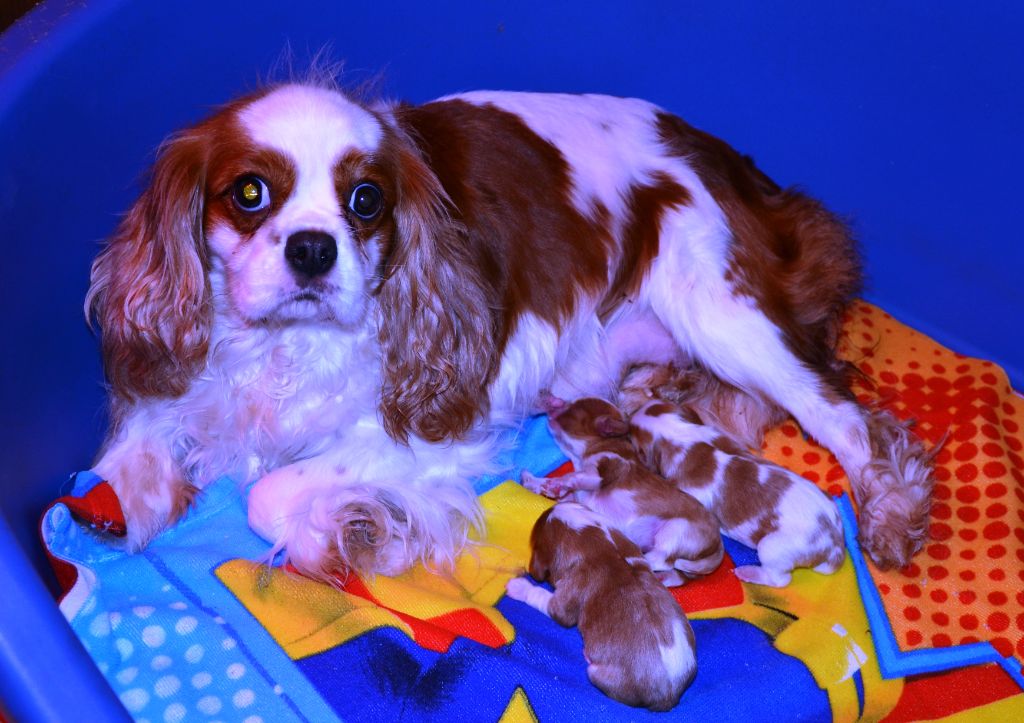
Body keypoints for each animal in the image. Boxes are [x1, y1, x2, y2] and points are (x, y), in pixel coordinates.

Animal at [503, 497, 696, 708]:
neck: (602, 545)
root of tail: (670, 697)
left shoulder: (566, 599)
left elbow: (545, 599)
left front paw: (519, 586)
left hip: (598, 674)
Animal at [520, 393, 720, 585]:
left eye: (572, 409)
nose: (553, 401)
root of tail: (718, 548)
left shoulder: (602, 471)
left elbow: (572, 476)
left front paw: (554, 483)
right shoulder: (576, 497)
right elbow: (564, 491)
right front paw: (536, 483)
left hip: (675, 531)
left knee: (661, 560)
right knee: (678, 576)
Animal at [618, 366, 843, 585]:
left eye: (632, 435)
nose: (630, 416)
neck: (682, 435)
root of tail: (834, 544)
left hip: (772, 546)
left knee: (780, 579)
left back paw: (748, 573)